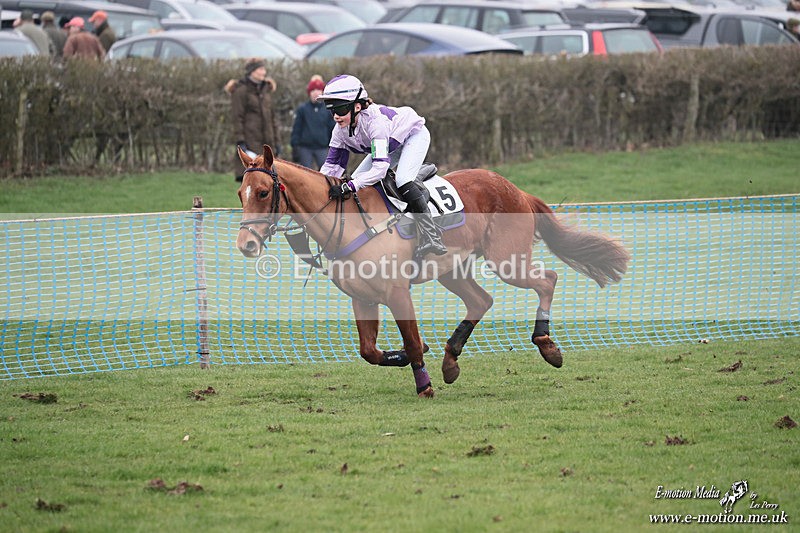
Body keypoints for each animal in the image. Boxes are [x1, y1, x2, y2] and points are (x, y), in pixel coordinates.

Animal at [236, 145, 630, 397]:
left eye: (264, 192)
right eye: (241, 193)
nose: (246, 244)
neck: (347, 220)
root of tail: (516, 189)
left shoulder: (397, 293)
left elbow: (410, 340)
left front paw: (423, 385)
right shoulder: (363, 298)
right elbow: (369, 351)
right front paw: (414, 355)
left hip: (507, 260)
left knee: (547, 279)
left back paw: (546, 344)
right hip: (451, 271)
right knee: (481, 300)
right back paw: (451, 359)